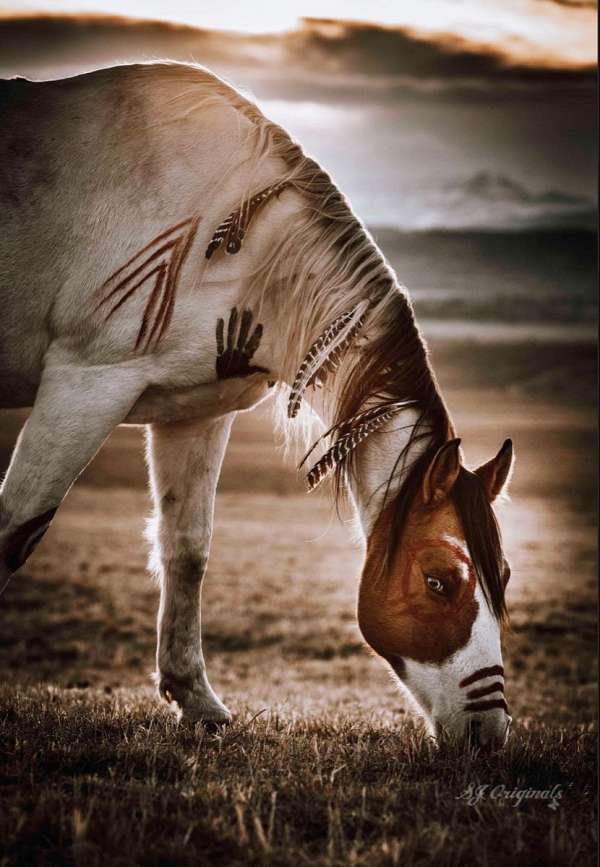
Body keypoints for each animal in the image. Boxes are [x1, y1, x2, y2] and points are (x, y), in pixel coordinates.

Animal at [0, 62, 514, 748]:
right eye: (438, 581)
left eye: (502, 576)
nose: (492, 734)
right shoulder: (86, 382)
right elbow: (15, 528)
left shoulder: (194, 412)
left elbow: (187, 549)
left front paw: (197, 702)